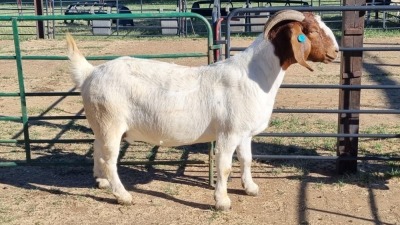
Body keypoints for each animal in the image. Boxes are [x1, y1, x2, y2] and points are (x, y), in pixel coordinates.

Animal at [67, 10, 340, 211]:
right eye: (311, 31)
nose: (335, 52)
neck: (254, 75)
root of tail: (90, 73)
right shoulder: (229, 133)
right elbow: (225, 166)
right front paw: (222, 201)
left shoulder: (245, 133)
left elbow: (247, 160)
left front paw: (250, 188)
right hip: (111, 123)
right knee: (109, 159)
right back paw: (123, 196)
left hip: (101, 125)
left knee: (97, 149)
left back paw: (102, 182)